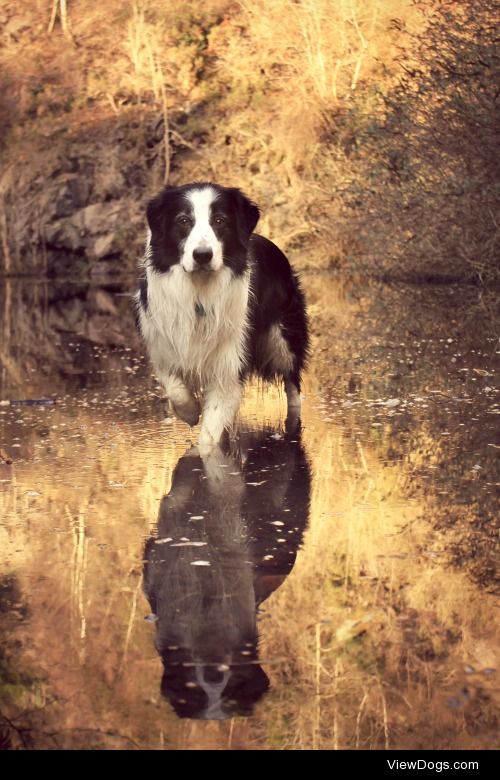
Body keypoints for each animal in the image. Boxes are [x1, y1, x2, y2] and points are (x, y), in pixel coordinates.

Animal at [137, 183, 308, 448]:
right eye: (183, 220)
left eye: (220, 220)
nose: (202, 255)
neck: (199, 291)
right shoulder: (162, 344)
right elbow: (173, 385)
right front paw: (189, 412)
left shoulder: (229, 362)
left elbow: (210, 432)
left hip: (283, 338)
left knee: (293, 381)